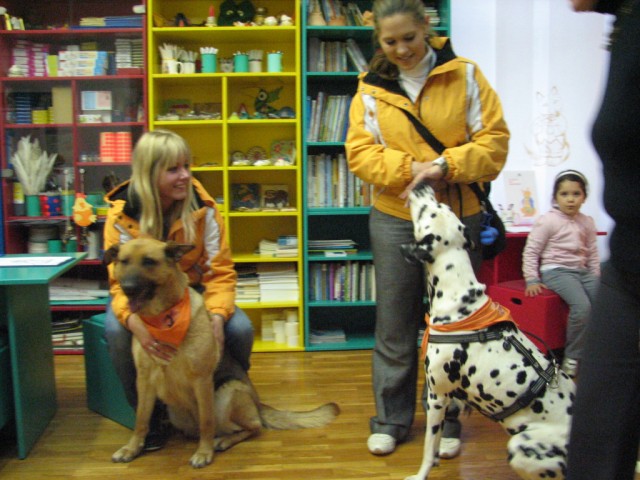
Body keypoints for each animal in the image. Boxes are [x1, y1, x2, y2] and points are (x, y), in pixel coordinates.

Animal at [106, 239, 340, 468]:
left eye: (149, 261)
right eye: (123, 261)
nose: (127, 289)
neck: (163, 318)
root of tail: (257, 404)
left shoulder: (202, 380)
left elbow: (206, 421)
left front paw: (204, 452)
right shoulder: (144, 380)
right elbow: (141, 420)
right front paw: (132, 448)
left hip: (227, 393)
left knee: (252, 427)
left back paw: (223, 441)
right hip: (178, 412)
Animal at [404, 182, 576, 478]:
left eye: (429, 211)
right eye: (442, 206)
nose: (423, 184)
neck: (459, 298)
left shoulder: (437, 397)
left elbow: (428, 446)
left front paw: (421, 472)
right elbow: (435, 445)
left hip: (521, 448)